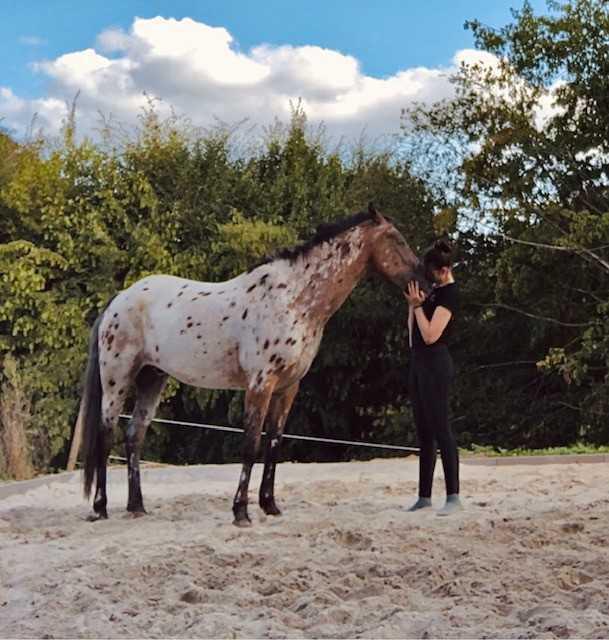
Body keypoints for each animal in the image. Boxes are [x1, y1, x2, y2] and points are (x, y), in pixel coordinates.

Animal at [80, 204, 425, 526]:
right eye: (397, 239)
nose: (426, 284)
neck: (295, 300)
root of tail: (118, 300)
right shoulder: (260, 383)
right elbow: (251, 444)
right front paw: (241, 512)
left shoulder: (287, 387)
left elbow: (273, 443)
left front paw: (270, 505)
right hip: (117, 379)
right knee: (106, 434)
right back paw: (100, 508)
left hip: (153, 378)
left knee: (133, 435)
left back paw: (137, 507)